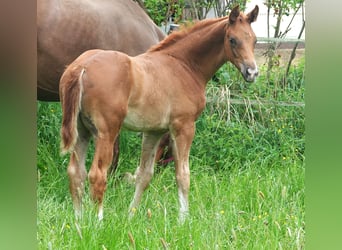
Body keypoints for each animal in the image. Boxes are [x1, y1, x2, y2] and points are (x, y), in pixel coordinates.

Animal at [59, 5, 260, 221]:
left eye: (254, 40)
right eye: (232, 39)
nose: (252, 72)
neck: (183, 65)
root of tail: (81, 67)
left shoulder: (153, 131)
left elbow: (144, 175)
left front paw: (131, 216)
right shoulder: (184, 126)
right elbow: (183, 175)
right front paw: (183, 220)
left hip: (82, 130)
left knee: (75, 173)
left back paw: (79, 222)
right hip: (107, 132)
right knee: (97, 174)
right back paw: (98, 222)